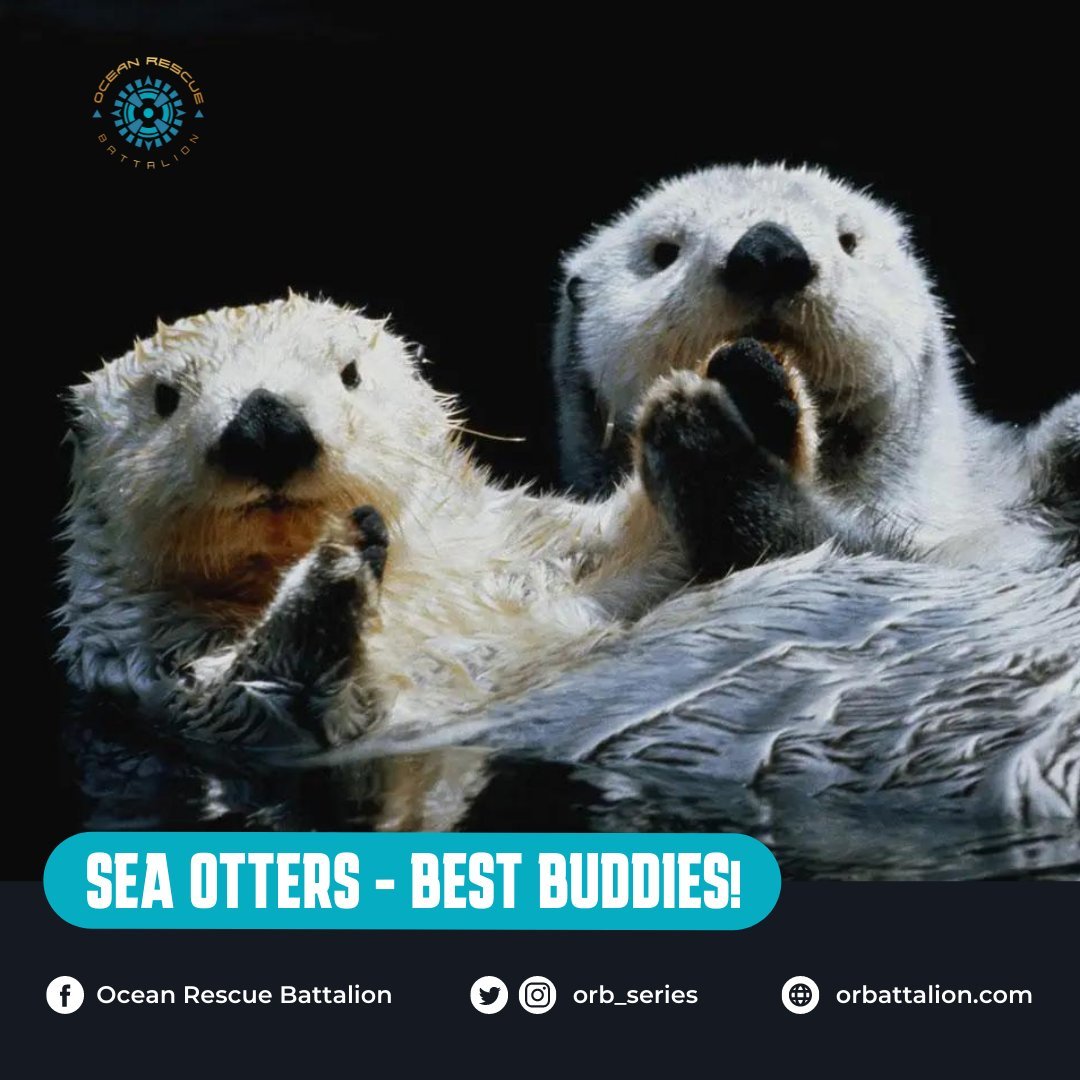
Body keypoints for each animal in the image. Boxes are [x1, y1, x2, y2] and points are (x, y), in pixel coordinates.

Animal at [61, 294, 812, 748]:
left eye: (349, 373)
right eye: (165, 398)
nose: (266, 425)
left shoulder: (522, 562)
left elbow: (646, 565)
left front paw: (753, 381)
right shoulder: (152, 665)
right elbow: (262, 698)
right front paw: (337, 560)